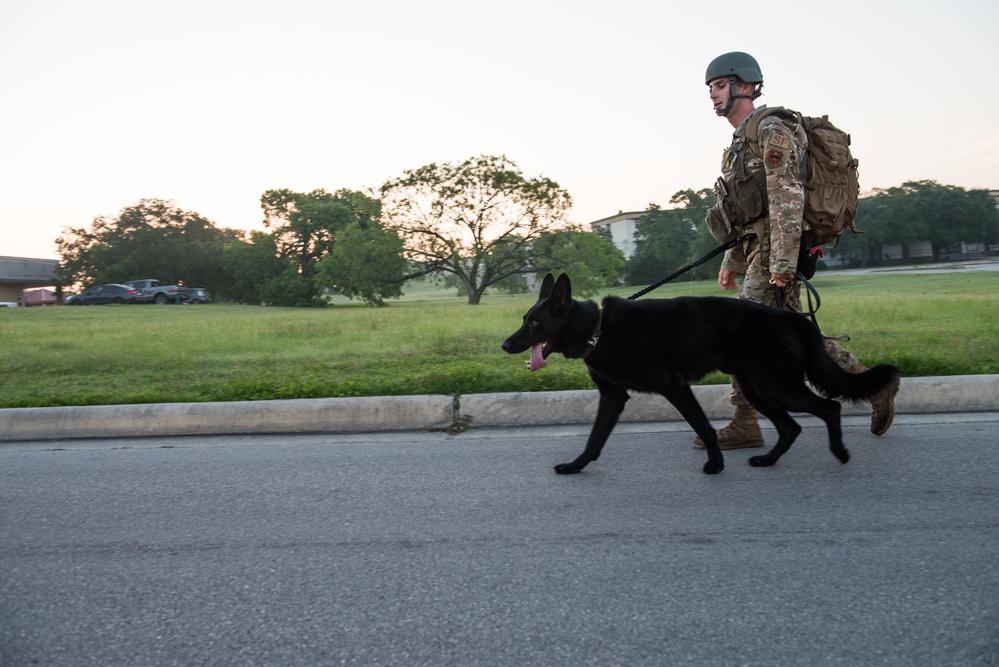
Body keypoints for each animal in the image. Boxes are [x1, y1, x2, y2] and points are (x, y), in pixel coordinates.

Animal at [504, 272, 904, 474]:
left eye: (535, 323)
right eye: (523, 319)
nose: (506, 345)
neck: (597, 329)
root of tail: (790, 317)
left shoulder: (675, 387)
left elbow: (703, 426)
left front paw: (716, 463)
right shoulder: (613, 398)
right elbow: (594, 439)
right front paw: (576, 466)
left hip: (776, 386)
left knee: (829, 408)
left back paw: (839, 451)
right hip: (757, 388)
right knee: (791, 427)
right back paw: (768, 460)